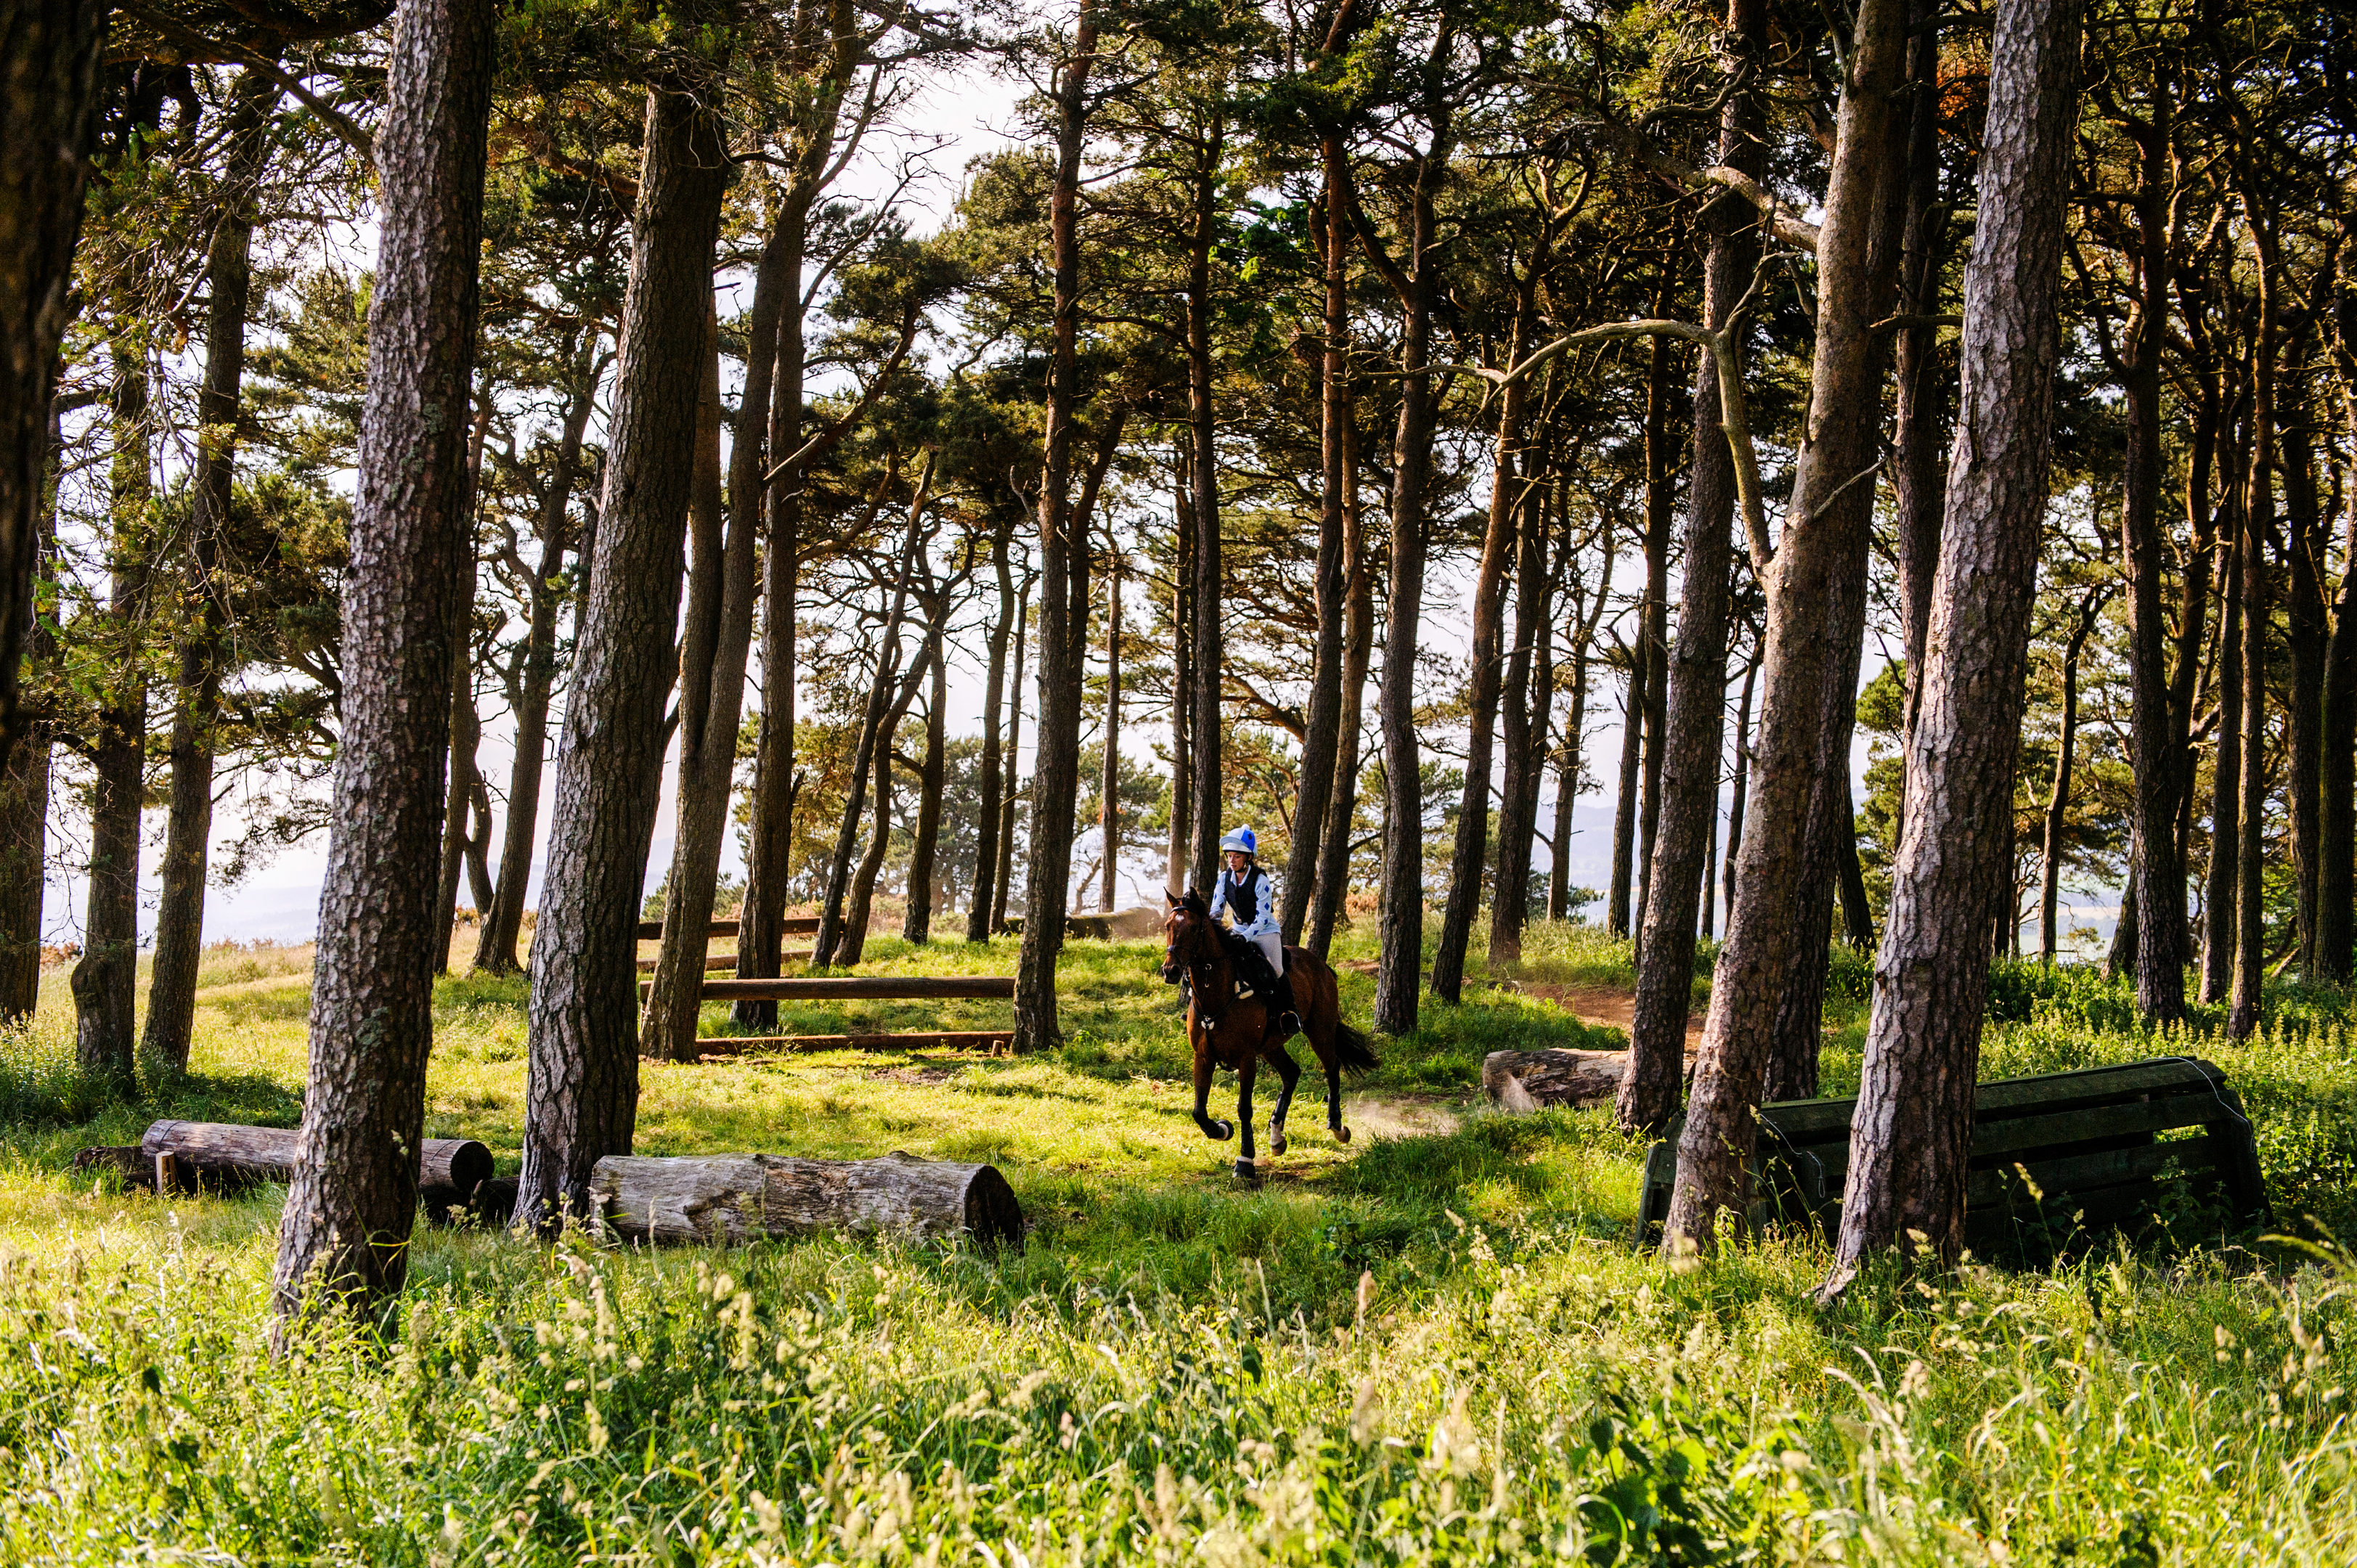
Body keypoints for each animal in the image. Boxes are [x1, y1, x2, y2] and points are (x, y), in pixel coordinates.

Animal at [1160, 886, 1376, 1179]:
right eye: (1168, 926)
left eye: (1194, 928)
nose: (1170, 971)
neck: (1217, 995)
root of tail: (1319, 964)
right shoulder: (1203, 1057)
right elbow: (1199, 1111)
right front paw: (1223, 1129)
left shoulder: (1246, 1058)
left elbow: (1244, 1108)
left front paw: (1245, 1162)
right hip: (1271, 1046)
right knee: (1291, 1073)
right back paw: (1277, 1138)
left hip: (1319, 1030)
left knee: (1332, 1068)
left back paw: (1337, 1126)